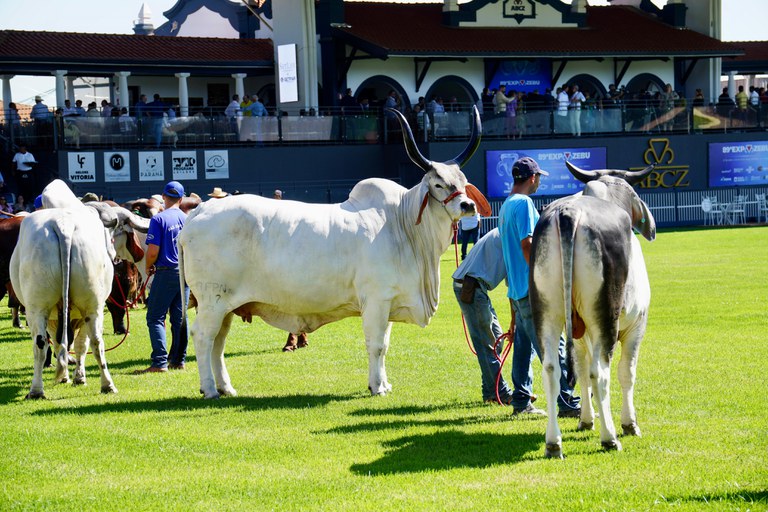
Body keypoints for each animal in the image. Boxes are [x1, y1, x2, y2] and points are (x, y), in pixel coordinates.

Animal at [12, 180, 148, 400]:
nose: (112, 254)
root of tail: (63, 226)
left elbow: (63, 344)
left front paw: (68, 376)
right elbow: (76, 345)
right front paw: (76, 377)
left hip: (38, 309)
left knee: (41, 344)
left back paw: (36, 390)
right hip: (90, 307)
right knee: (95, 342)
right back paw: (107, 384)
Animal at [178, 106, 492, 398]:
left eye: (462, 181)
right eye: (438, 183)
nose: (467, 206)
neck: (402, 225)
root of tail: (200, 211)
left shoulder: (388, 302)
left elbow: (385, 344)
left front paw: (384, 383)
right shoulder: (376, 300)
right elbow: (376, 345)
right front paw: (377, 386)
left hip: (225, 306)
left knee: (218, 342)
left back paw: (225, 387)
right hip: (212, 300)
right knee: (203, 337)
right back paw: (209, 389)